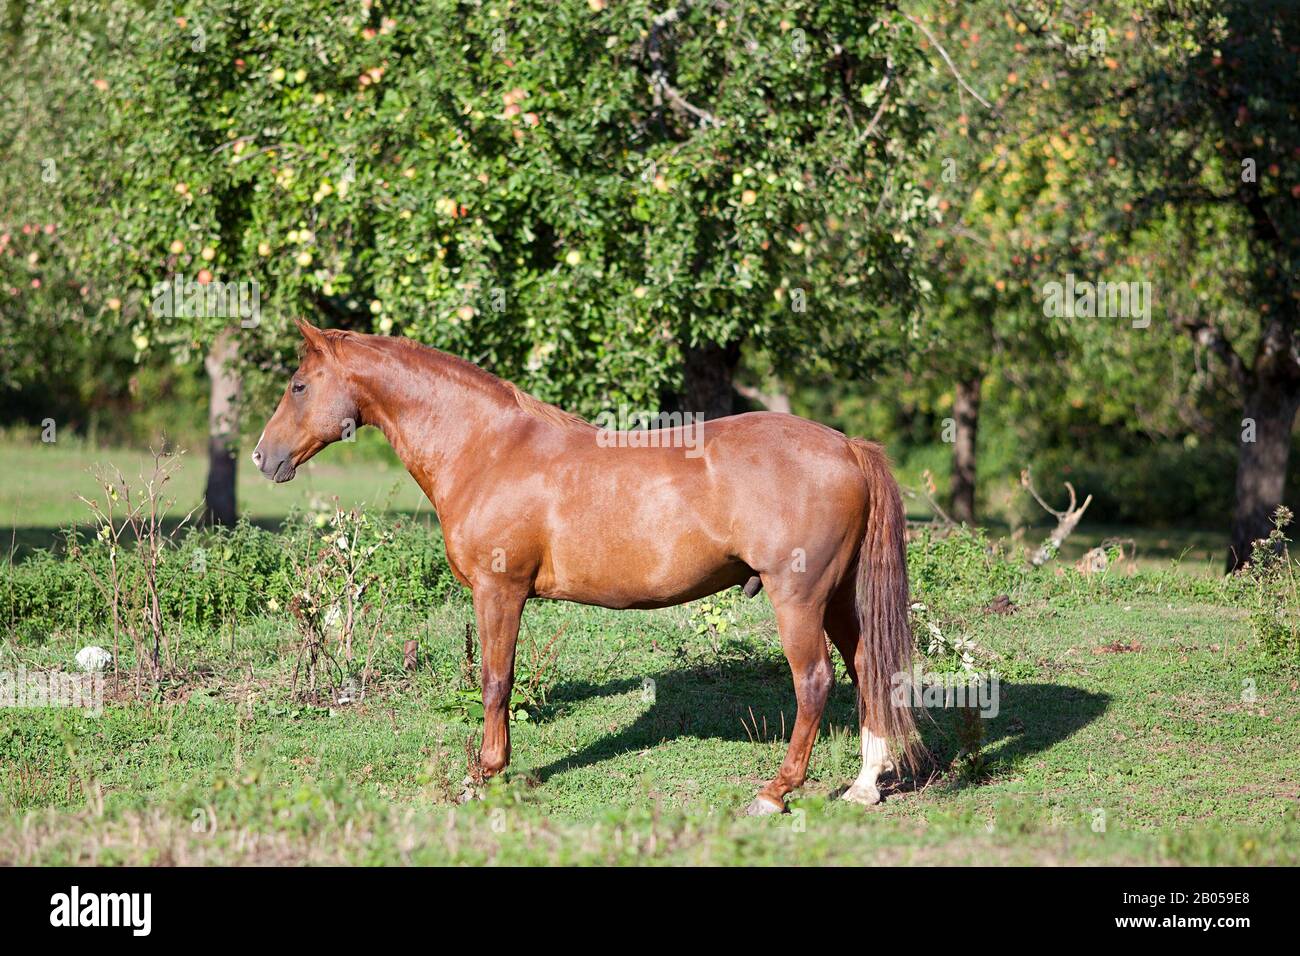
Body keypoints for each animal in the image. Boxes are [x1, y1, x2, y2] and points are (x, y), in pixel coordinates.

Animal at [253, 317, 915, 811]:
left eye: (298, 386)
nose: (262, 457)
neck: (488, 449)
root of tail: (847, 445)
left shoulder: (499, 590)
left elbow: (495, 681)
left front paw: (485, 774)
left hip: (798, 598)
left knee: (815, 682)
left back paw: (775, 792)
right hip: (837, 597)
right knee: (867, 669)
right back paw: (863, 786)